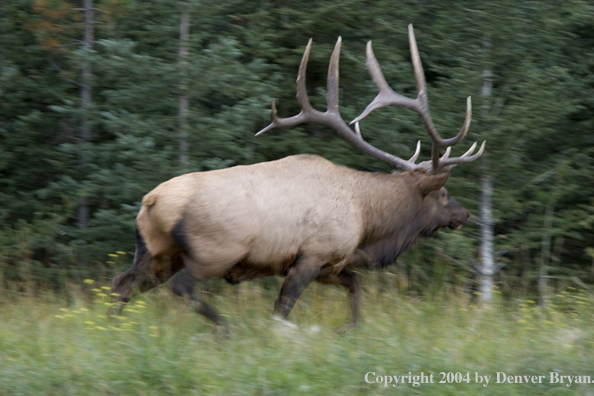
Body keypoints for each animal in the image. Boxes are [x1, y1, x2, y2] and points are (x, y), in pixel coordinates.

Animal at [110, 25, 480, 332]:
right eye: (443, 193)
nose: (464, 213)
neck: (368, 223)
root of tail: (153, 200)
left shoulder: (332, 265)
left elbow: (355, 286)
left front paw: (349, 329)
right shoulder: (313, 255)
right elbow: (282, 311)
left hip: (156, 251)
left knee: (122, 284)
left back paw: (115, 334)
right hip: (215, 250)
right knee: (181, 286)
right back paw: (225, 329)